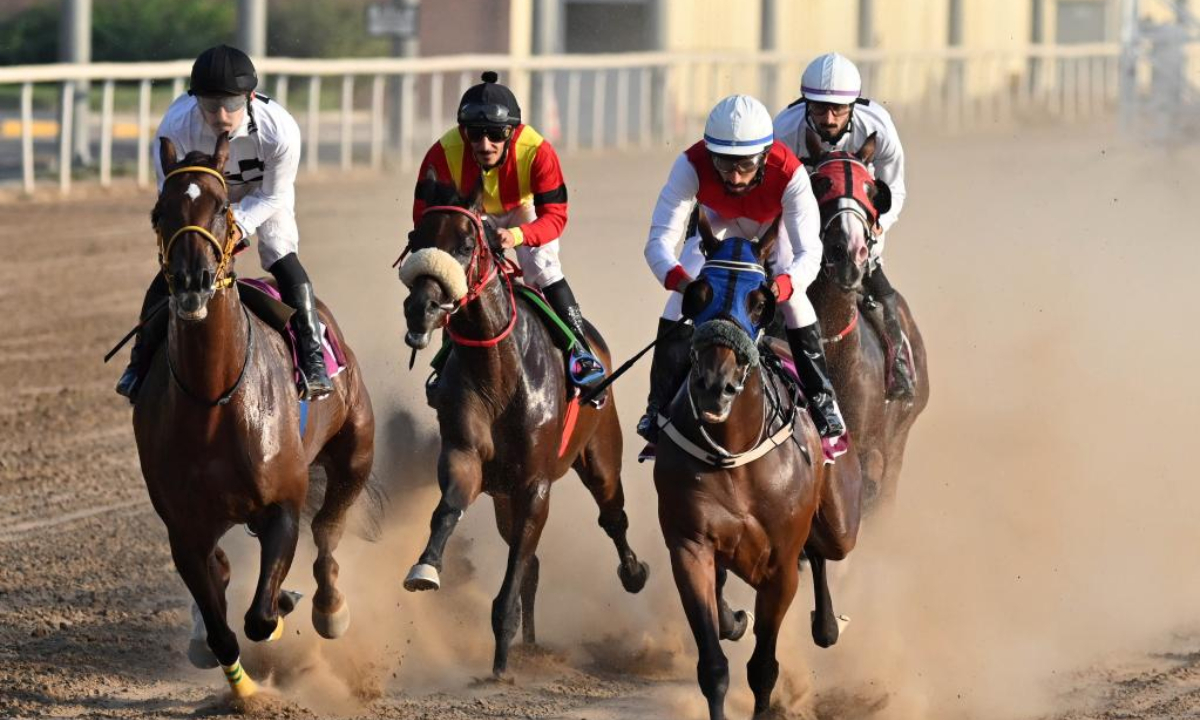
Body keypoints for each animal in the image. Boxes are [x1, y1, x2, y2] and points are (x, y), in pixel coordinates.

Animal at [134, 133, 374, 696]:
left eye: (222, 207)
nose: (193, 281)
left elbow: (261, 617)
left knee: (328, 529)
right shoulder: (184, 530)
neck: (212, 401)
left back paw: (329, 608)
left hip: (354, 453)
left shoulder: (282, 505)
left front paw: (286, 604)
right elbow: (223, 628)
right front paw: (244, 694)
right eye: (160, 210)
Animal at [398, 180, 648, 681]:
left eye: (466, 243)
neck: (500, 373)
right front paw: (425, 568)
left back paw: (632, 574)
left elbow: (515, 569)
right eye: (417, 238)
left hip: (600, 455)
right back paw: (530, 644)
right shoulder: (466, 455)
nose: (421, 308)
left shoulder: (535, 484)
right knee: (531, 559)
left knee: (612, 516)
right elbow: (449, 509)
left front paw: (500, 659)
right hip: (502, 496)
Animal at [657, 222, 864, 715]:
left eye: (758, 301)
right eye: (699, 293)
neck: (734, 454)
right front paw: (730, 622)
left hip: (841, 518)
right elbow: (714, 665)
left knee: (825, 549)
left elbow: (763, 668)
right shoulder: (690, 546)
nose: (715, 386)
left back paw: (828, 625)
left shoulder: (780, 567)